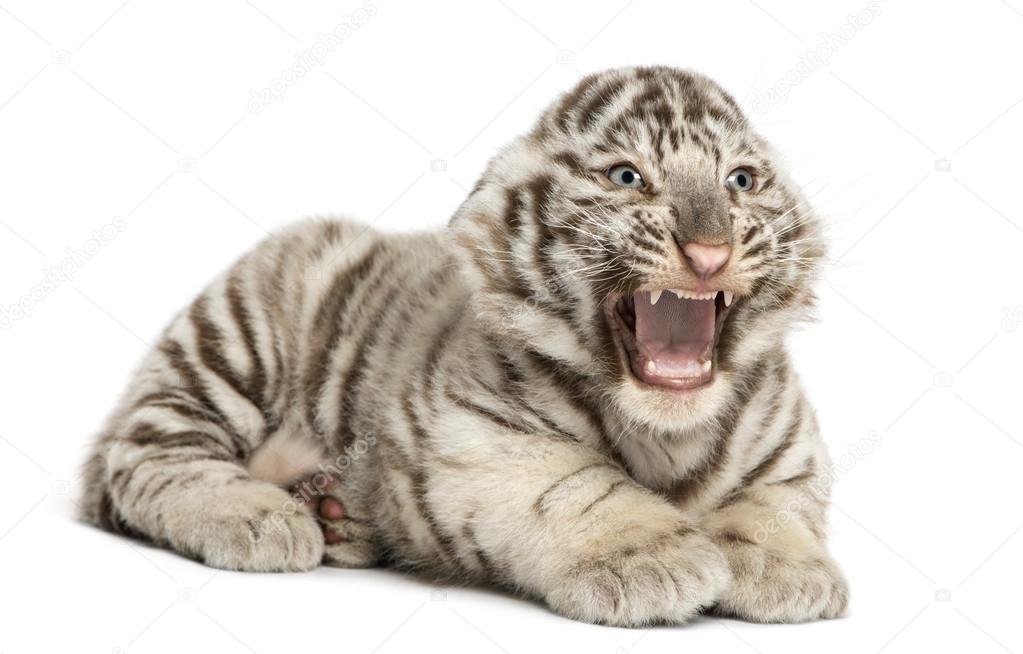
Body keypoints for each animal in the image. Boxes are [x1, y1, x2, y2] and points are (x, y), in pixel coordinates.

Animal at [79, 65, 848, 626]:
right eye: (627, 177)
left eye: (739, 181)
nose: (708, 253)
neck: (667, 431)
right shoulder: (472, 435)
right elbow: (577, 486)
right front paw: (652, 558)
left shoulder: (792, 445)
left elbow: (772, 501)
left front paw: (788, 570)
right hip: (231, 341)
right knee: (141, 454)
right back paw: (263, 516)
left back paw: (338, 516)